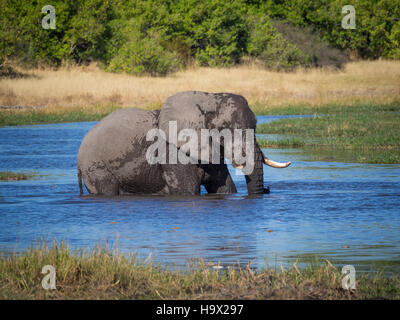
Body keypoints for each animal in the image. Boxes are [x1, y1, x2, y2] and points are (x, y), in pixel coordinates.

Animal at [77, 90, 290, 195]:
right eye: (224, 129)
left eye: (256, 125)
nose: (267, 190)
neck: (208, 99)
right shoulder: (172, 151)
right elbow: (187, 191)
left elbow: (225, 187)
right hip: (96, 168)